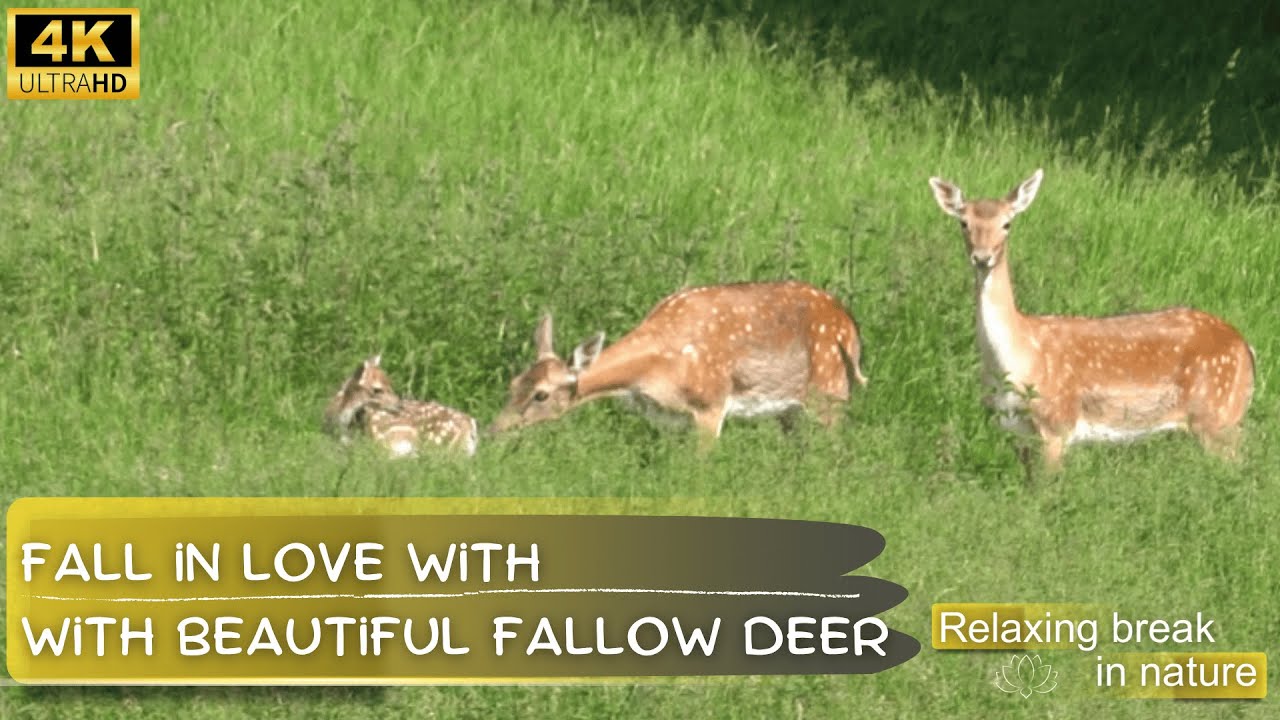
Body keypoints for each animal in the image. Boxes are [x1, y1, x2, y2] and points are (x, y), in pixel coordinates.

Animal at [489, 280, 867, 445]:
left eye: (541, 394)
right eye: (513, 383)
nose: (494, 430)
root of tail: (849, 324)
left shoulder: (711, 403)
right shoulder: (672, 419)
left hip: (830, 391)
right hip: (791, 409)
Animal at [928, 168, 1255, 472]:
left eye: (1007, 223)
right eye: (963, 222)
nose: (983, 257)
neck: (1016, 358)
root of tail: (1245, 348)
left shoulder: (1057, 421)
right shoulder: (1013, 429)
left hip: (1219, 416)